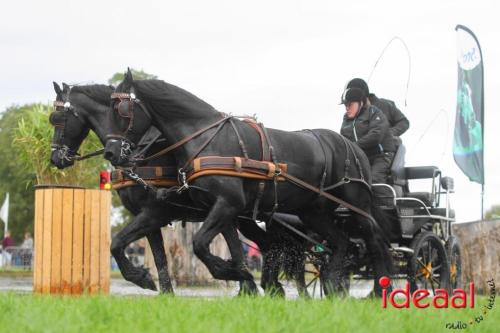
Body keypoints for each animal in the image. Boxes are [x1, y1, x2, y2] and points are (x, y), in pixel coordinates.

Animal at [49, 81, 304, 294]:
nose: (56, 158)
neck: (141, 152)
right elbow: (159, 259)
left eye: (59, 117)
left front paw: (141, 277)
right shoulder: (149, 218)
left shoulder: (155, 212)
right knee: (269, 246)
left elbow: (118, 243)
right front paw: (163, 292)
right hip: (243, 217)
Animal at [104, 70, 394, 296]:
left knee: (375, 240)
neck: (205, 138)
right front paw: (141, 277)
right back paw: (333, 283)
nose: (111, 153)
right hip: (314, 213)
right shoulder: (174, 210)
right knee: (342, 242)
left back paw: (381, 289)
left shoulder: (228, 204)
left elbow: (200, 244)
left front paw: (234, 273)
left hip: (356, 206)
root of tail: (353, 147)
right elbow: (118, 243)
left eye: (122, 110)